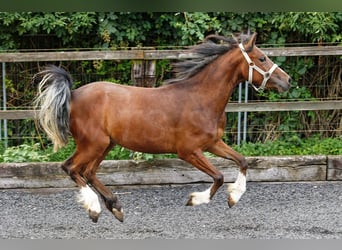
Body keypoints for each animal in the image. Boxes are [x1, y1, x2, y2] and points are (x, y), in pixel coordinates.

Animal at [34, 33, 292, 223]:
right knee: (70, 168)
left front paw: (233, 198)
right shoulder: (188, 151)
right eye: (262, 59)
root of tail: (73, 94)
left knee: (88, 172)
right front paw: (195, 199)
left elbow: (242, 161)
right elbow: (219, 176)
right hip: (93, 144)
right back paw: (94, 209)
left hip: (106, 144)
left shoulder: (213, 143)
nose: (287, 81)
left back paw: (116, 208)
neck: (201, 99)